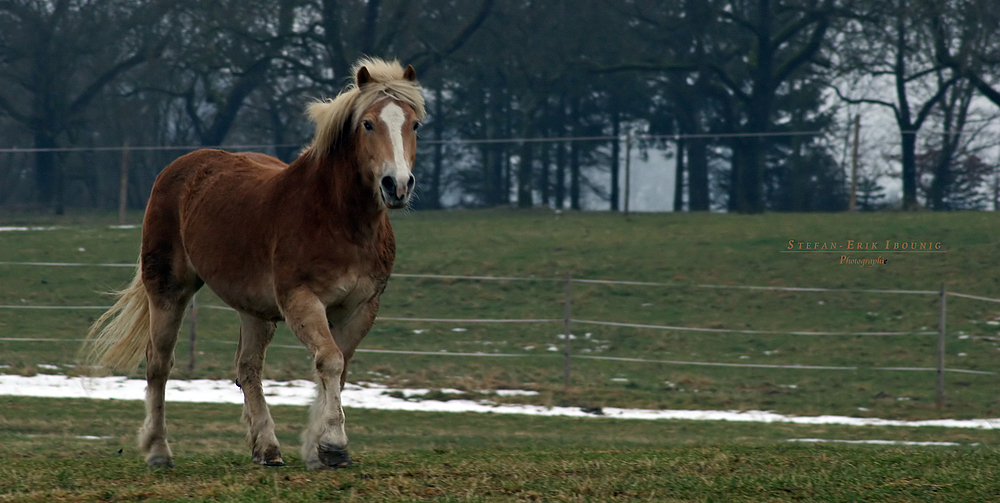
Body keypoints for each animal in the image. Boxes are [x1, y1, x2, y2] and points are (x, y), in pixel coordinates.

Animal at [79, 57, 422, 470]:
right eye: (368, 124)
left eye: (414, 124)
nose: (396, 185)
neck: (338, 218)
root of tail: (180, 167)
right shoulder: (301, 300)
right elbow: (330, 361)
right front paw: (333, 444)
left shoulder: (361, 308)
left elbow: (338, 369)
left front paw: (317, 447)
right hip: (168, 290)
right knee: (159, 363)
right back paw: (159, 450)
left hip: (254, 309)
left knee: (248, 368)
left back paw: (267, 448)